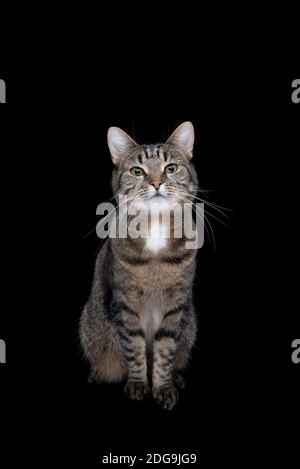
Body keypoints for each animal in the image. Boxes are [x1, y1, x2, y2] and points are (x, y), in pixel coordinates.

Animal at [80, 121, 199, 410]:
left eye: (171, 168)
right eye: (137, 171)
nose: (156, 182)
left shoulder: (176, 306)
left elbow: (165, 351)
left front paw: (164, 387)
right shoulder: (125, 303)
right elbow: (134, 348)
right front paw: (138, 385)